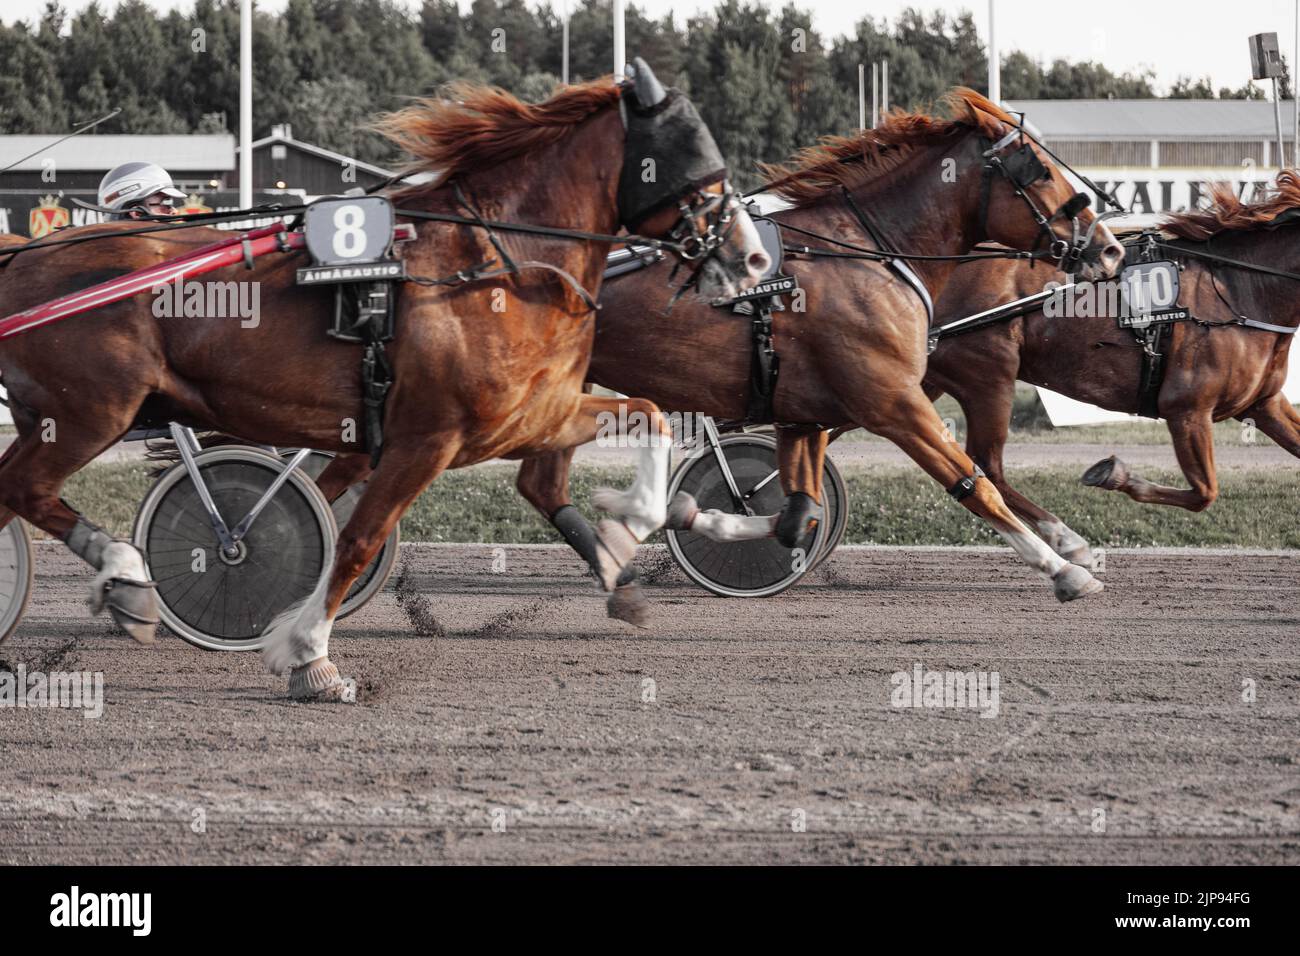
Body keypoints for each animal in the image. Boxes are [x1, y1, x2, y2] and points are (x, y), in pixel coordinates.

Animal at [0, 67, 769, 697]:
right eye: (696, 166)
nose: (754, 258)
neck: (498, 263)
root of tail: (25, 253)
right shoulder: (426, 436)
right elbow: (358, 539)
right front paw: (309, 656)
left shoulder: (525, 413)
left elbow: (647, 419)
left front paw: (643, 524)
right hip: (90, 412)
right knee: (25, 489)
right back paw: (125, 574)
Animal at [501, 93, 1123, 608]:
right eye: (1039, 168)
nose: (1111, 249)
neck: (868, 250)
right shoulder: (895, 403)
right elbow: (976, 485)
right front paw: (1065, 568)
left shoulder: (803, 413)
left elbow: (796, 516)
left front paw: (705, 517)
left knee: (541, 484)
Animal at [915, 174, 1300, 567]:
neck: (1239, 291)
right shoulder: (1188, 410)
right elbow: (1204, 492)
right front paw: (1114, 475)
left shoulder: (1263, 403)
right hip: (989, 378)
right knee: (987, 467)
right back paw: (1067, 541)